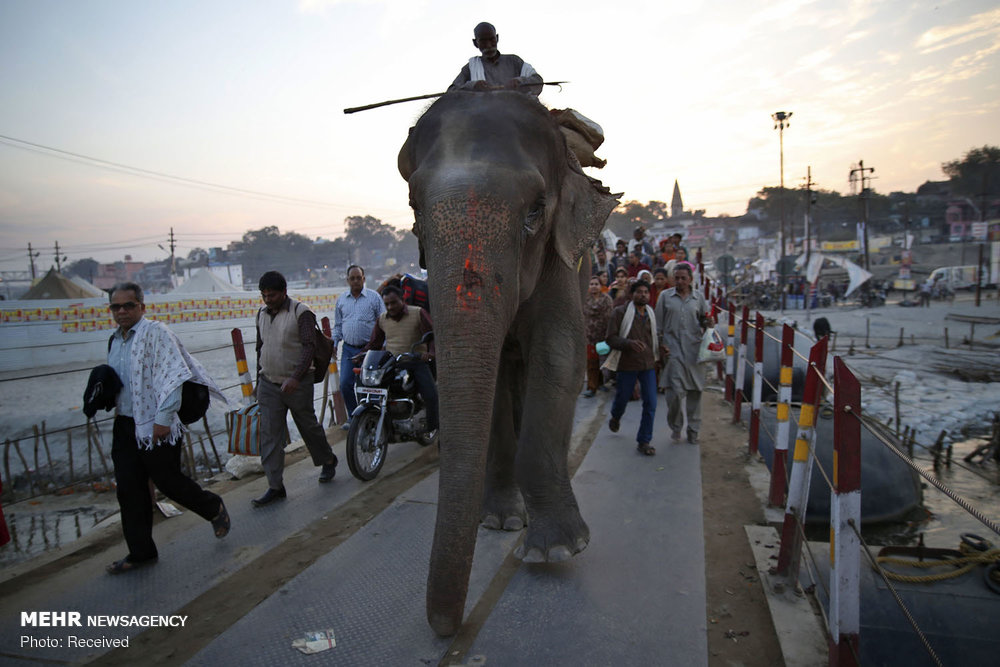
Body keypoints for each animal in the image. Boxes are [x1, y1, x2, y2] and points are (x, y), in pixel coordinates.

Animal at [396, 90, 616, 636]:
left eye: (536, 210)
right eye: (413, 207)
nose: (446, 627)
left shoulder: (562, 257)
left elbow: (559, 356)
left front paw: (557, 549)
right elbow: (489, 375)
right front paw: (499, 522)